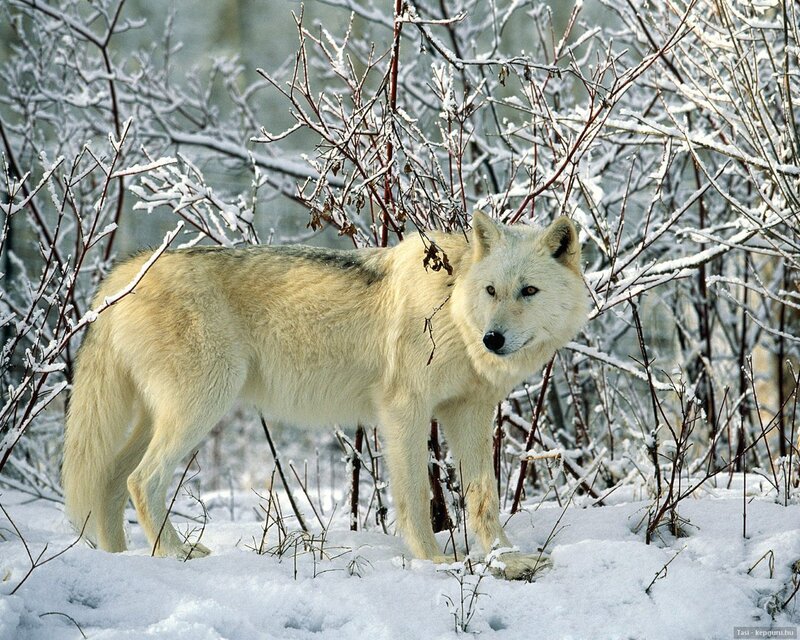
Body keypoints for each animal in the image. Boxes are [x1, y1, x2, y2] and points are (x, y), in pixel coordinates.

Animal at [62, 211, 586, 579]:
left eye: (528, 291)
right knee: (142, 480)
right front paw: (435, 564)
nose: (492, 339)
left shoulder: (471, 413)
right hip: (202, 407)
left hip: (161, 418)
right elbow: (417, 497)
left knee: (111, 479)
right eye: (492, 290)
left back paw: (121, 557)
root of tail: (123, 272)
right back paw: (176, 553)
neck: (453, 309)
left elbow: (484, 499)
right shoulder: (405, 411)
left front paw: (507, 558)